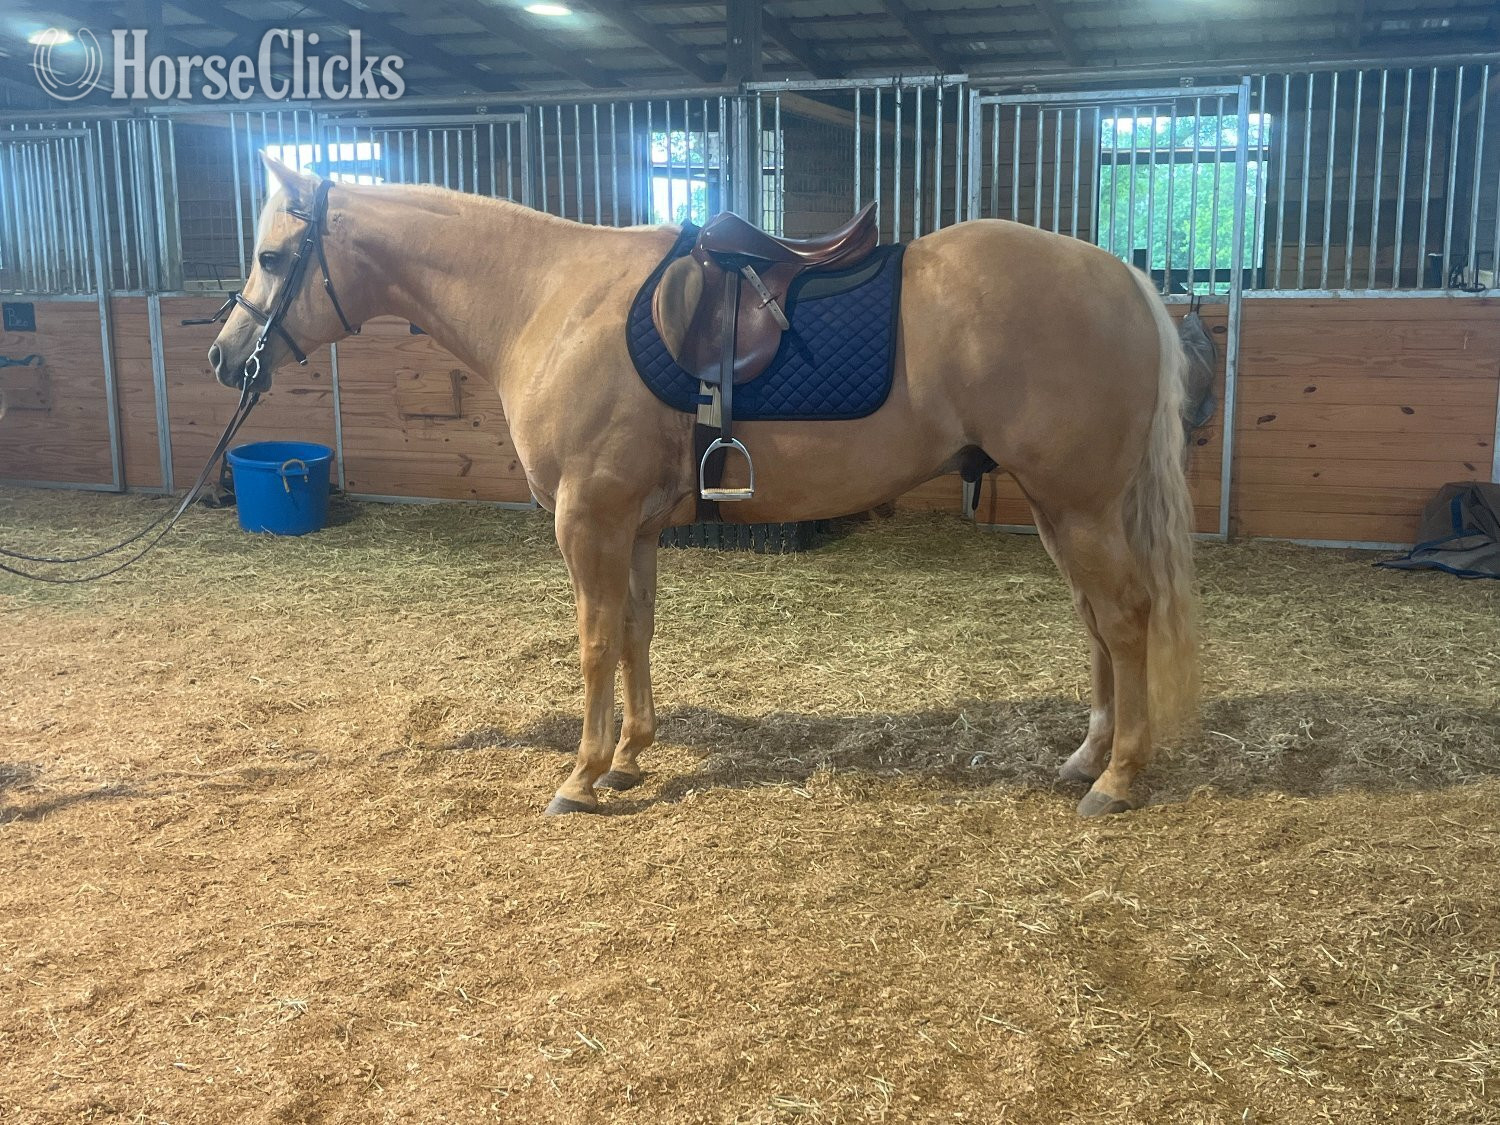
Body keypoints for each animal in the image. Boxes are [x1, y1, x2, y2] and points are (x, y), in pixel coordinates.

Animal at [206, 155, 1198, 820]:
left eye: (273, 255)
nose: (223, 356)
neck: (550, 300)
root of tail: (1121, 277)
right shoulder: (635, 524)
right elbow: (636, 632)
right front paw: (629, 757)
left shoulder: (587, 520)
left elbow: (594, 643)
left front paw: (579, 776)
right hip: (1059, 508)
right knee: (1096, 620)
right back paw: (1087, 755)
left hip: (1077, 505)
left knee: (1124, 616)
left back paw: (1118, 777)